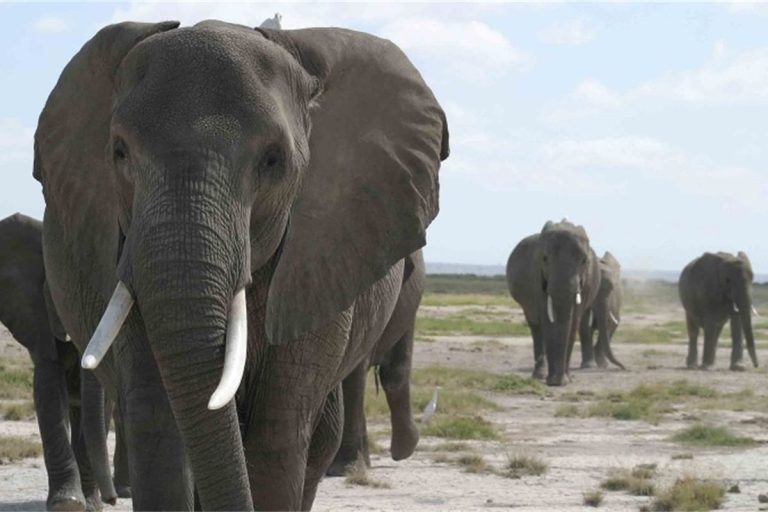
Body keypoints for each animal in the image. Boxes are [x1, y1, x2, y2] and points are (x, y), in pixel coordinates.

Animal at [0, 213, 126, 510]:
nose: (112, 499)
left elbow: (101, 403)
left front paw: (90, 505)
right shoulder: (38, 319)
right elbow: (47, 389)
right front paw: (66, 503)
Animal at [506, 220, 600, 386]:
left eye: (584, 261)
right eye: (545, 259)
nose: (557, 381)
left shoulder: (585, 284)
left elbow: (573, 322)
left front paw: (564, 381)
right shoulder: (537, 279)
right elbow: (547, 319)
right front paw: (554, 382)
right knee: (536, 328)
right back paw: (539, 375)